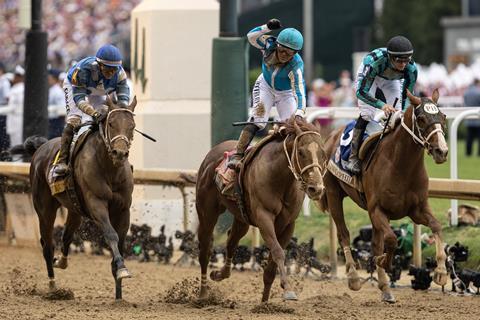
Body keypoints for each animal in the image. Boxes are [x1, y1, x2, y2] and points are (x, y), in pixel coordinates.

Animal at [28, 97, 137, 300]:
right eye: (111, 123)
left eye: (132, 126)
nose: (120, 153)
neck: (110, 169)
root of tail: (40, 148)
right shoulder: (96, 203)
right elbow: (111, 234)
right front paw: (121, 268)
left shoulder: (123, 208)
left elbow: (121, 241)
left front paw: (119, 291)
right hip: (44, 209)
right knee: (47, 245)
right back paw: (53, 287)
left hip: (75, 210)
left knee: (66, 236)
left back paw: (61, 262)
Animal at [194, 117, 326, 302]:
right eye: (301, 152)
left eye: (322, 153)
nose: (317, 188)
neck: (280, 179)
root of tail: (213, 151)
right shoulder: (264, 218)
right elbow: (278, 252)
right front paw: (288, 291)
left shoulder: (288, 224)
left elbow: (271, 266)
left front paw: (265, 301)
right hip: (207, 212)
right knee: (205, 249)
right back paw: (204, 293)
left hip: (241, 218)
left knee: (231, 241)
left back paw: (220, 274)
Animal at [318, 90, 450, 302]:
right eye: (421, 119)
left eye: (443, 116)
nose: (442, 151)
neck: (400, 165)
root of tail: (331, 135)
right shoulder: (377, 210)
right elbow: (391, 240)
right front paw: (382, 262)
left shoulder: (417, 209)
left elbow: (436, 226)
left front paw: (441, 272)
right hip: (333, 194)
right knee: (344, 234)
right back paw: (354, 277)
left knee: (374, 242)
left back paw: (385, 289)